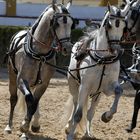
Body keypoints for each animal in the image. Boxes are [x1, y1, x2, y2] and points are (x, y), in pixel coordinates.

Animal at [3, 0, 74, 139]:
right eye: (56, 23)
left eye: (71, 24)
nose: (67, 48)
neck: (40, 53)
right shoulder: (21, 79)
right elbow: (29, 99)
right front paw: (24, 127)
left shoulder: (44, 83)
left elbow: (34, 103)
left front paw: (28, 126)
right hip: (12, 77)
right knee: (14, 99)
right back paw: (9, 126)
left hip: (35, 82)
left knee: (34, 101)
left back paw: (34, 123)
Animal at [64, 4, 129, 140]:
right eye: (109, 25)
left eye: (124, 26)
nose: (116, 48)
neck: (103, 59)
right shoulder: (84, 87)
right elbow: (78, 115)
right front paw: (70, 135)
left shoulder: (107, 88)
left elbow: (119, 91)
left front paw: (107, 116)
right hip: (75, 87)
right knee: (75, 104)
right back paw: (69, 127)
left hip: (97, 94)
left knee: (90, 112)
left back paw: (87, 133)